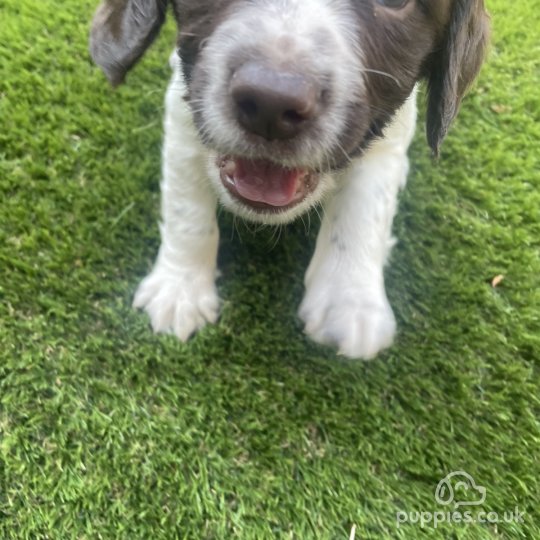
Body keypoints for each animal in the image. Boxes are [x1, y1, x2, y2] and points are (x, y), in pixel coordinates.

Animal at [89, 2, 490, 360]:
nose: (270, 103)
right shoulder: (186, 104)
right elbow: (187, 209)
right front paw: (179, 290)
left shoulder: (389, 130)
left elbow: (365, 204)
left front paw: (350, 299)